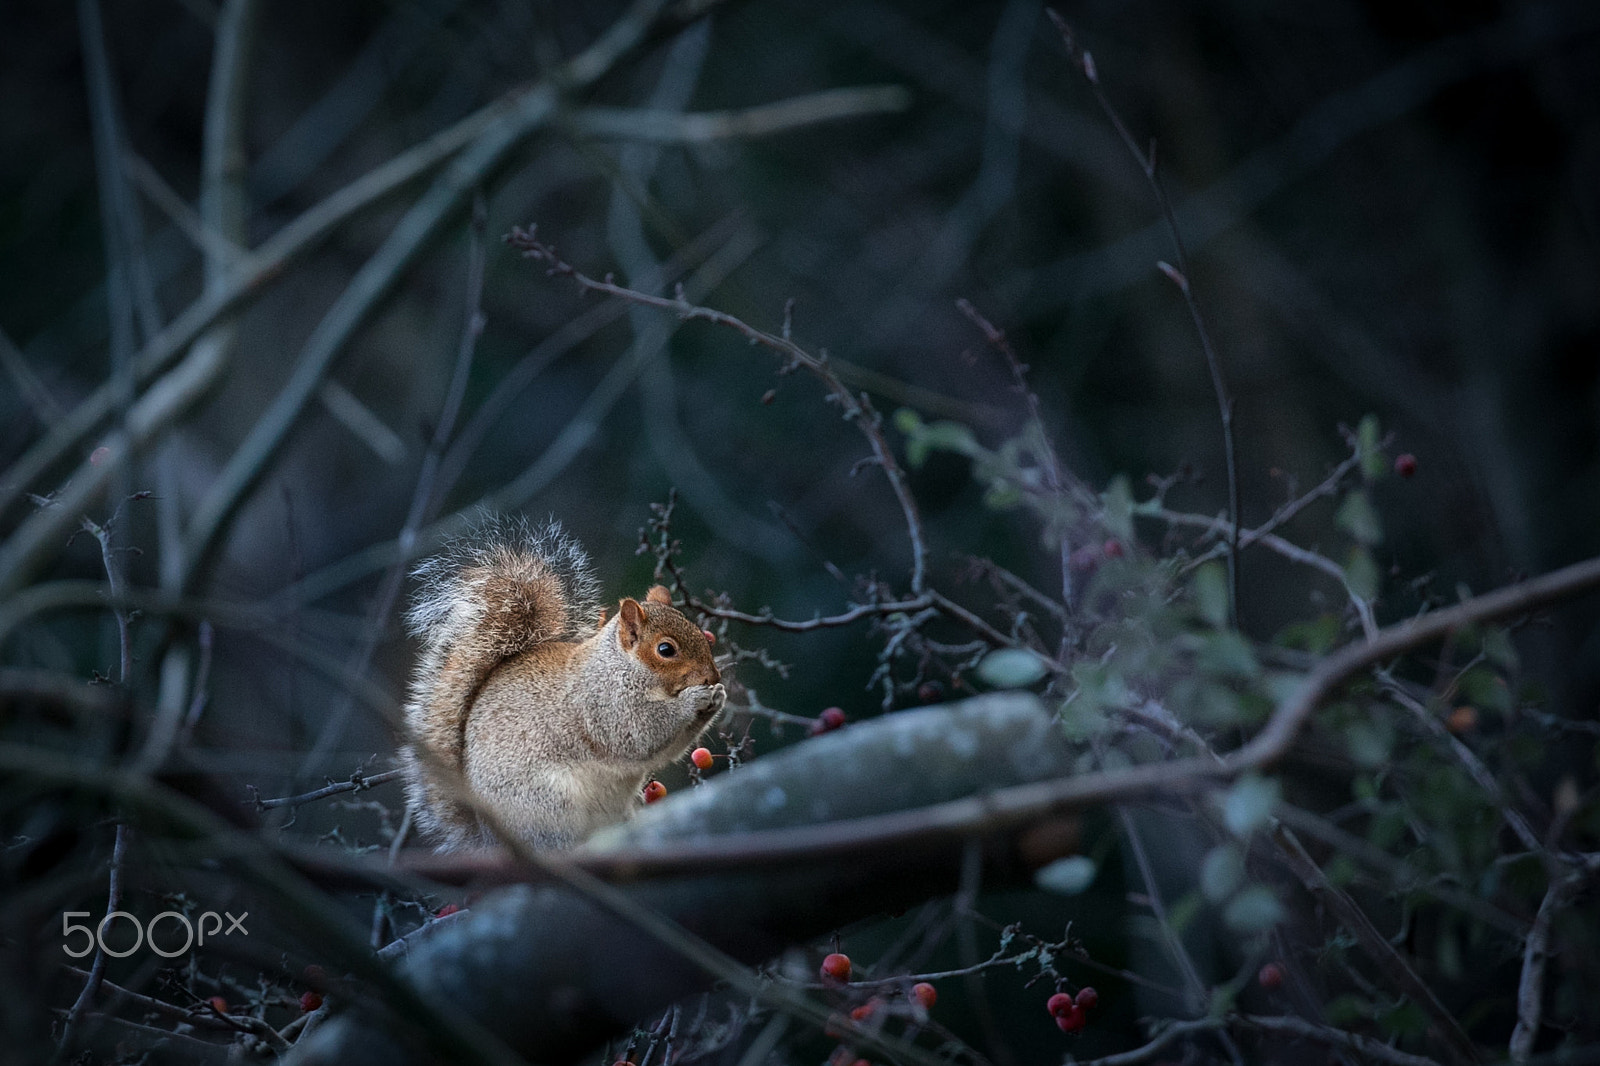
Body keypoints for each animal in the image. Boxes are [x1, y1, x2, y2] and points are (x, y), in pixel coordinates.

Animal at [399, 516, 725, 851]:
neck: (623, 668)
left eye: (701, 635)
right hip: (547, 805)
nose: (713, 676)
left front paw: (717, 697)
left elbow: (667, 749)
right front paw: (695, 699)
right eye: (665, 650)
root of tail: (493, 841)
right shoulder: (604, 704)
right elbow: (641, 733)